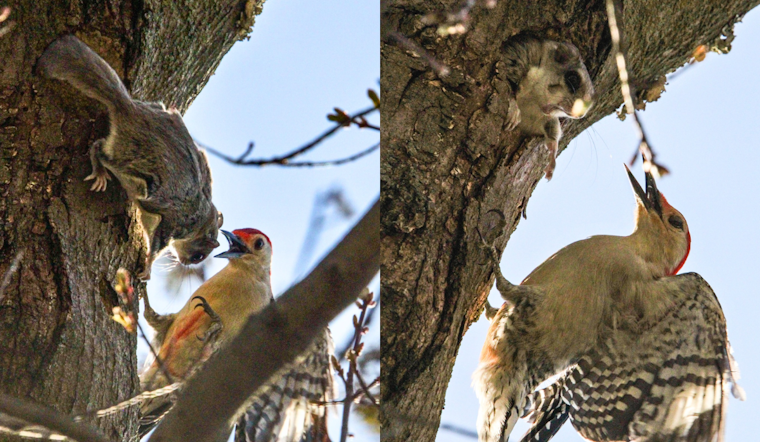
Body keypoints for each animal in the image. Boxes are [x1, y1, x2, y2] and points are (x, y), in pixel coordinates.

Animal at [37, 35, 222, 280]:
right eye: (199, 256)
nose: (185, 263)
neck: (201, 217)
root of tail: (129, 108)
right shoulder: (173, 222)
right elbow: (157, 246)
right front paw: (147, 269)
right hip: (128, 160)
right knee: (98, 149)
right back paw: (100, 172)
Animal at [501, 36, 595, 180]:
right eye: (573, 78)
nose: (580, 115)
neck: (534, 97)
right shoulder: (517, 57)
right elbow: (507, 86)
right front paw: (513, 110)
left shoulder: (540, 117)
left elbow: (552, 130)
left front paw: (552, 155)